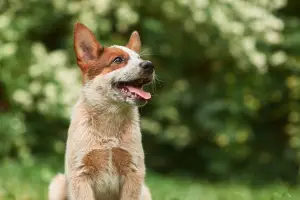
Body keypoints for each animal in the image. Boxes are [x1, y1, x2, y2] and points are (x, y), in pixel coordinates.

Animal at [48, 22, 155, 200]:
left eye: (139, 58)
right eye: (118, 60)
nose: (150, 65)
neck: (110, 120)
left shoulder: (134, 172)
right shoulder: (80, 174)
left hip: (145, 191)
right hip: (57, 183)